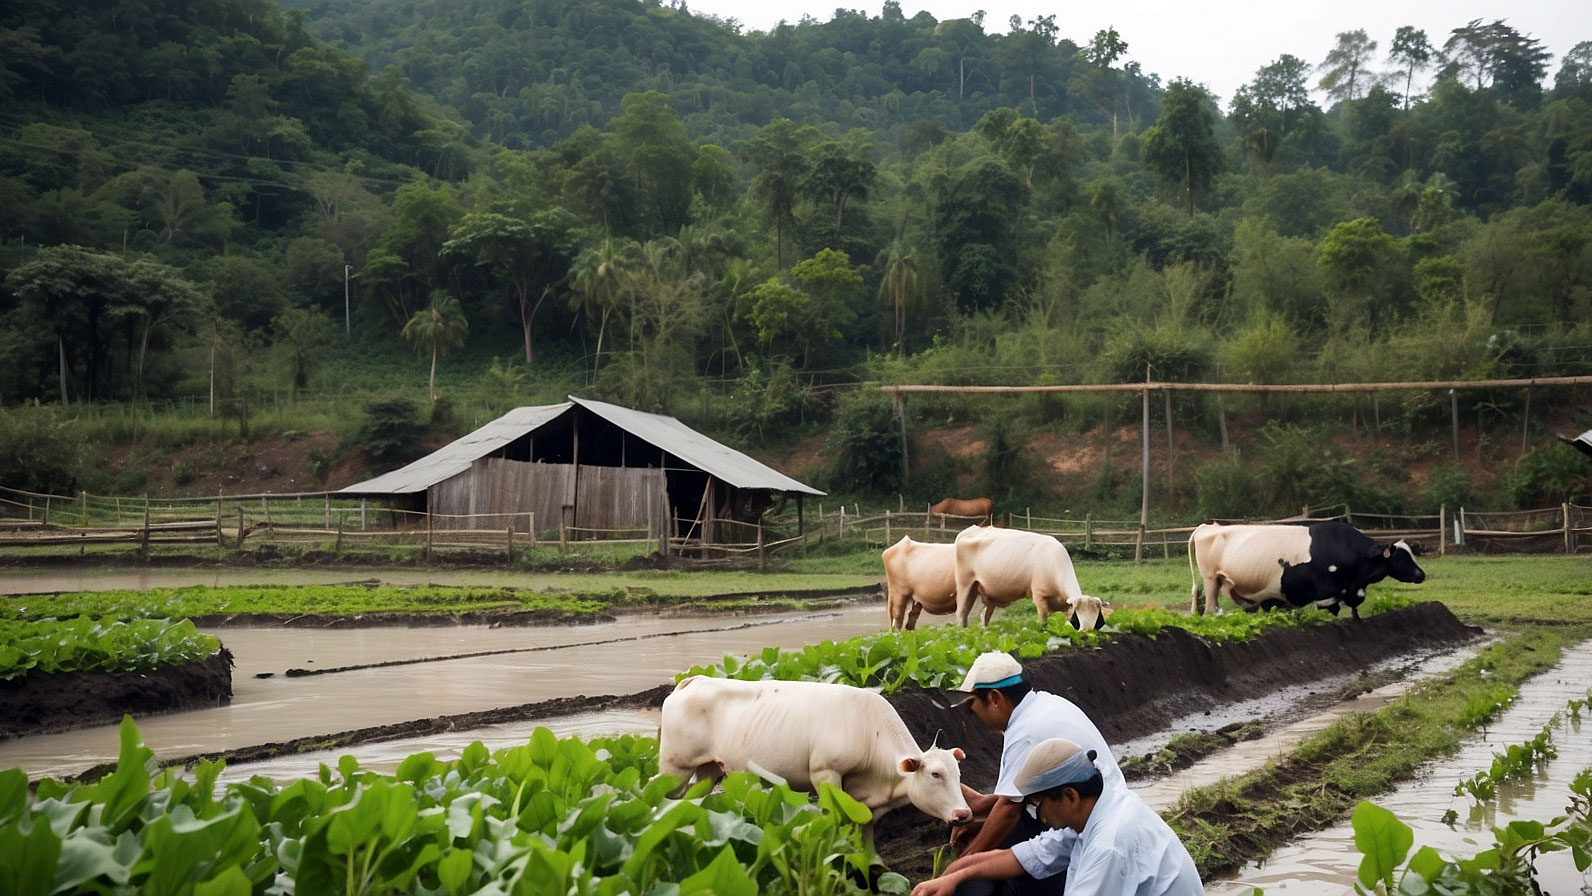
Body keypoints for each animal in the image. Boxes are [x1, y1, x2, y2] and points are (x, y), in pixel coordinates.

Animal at [655, 674, 967, 827]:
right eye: (935, 774)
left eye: (958, 774)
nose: (963, 813)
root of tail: (695, 680)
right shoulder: (825, 773)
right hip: (674, 766)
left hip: (707, 768)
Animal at [948, 522, 1101, 627]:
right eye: (1078, 620)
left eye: (1096, 621)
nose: (1086, 634)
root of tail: (971, 529)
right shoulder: (1040, 597)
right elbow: (1044, 621)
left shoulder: (1064, 606)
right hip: (964, 584)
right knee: (961, 614)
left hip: (987, 593)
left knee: (984, 616)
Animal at [1184, 522, 1432, 620]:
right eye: (1402, 558)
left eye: (1412, 554)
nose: (1421, 575)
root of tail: (1208, 526)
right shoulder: (1326, 589)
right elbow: (1332, 608)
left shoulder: (1350, 587)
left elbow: (1355, 603)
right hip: (1211, 580)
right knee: (1209, 610)